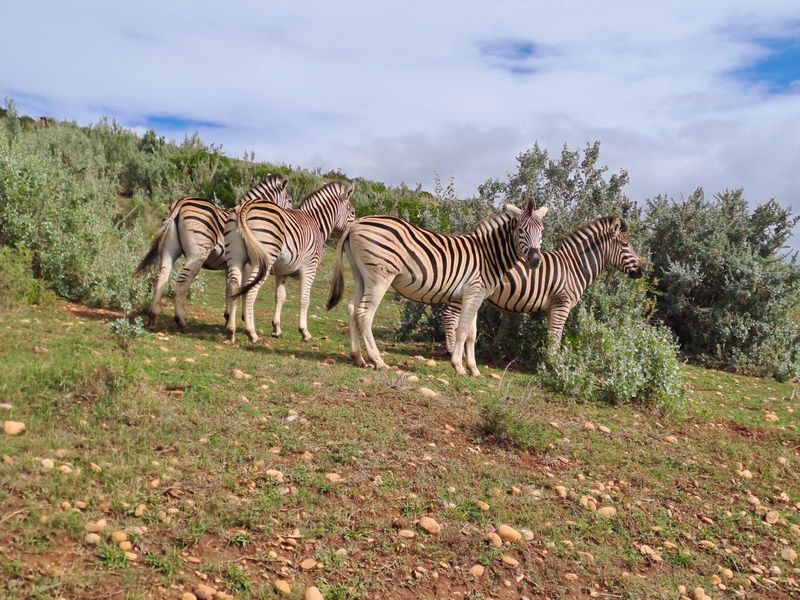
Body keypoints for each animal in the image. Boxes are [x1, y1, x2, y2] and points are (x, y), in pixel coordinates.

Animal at [134, 174, 291, 331]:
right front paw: (240, 317)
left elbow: (230, 288)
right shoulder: (247, 264)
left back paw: (153, 318)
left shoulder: (229, 265)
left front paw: (228, 317)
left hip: (169, 250)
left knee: (162, 277)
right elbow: (244, 286)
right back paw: (180, 321)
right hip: (197, 254)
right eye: (290, 200)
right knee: (183, 280)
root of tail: (181, 202)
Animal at [226, 180, 356, 343]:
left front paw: (276, 329)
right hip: (262, 261)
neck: (316, 224)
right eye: (353, 212)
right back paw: (252, 333)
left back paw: (231, 331)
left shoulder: (283, 271)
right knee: (249, 290)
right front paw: (304, 332)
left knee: (234, 287)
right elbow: (305, 299)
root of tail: (245, 206)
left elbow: (280, 296)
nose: (352, 234)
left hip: (236, 258)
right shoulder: (310, 267)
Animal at [326, 199, 549, 377]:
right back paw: (378, 361)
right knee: (364, 314)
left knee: (352, 309)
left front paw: (474, 370)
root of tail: (355, 224)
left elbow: (472, 334)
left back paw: (358, 358)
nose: (535, 260)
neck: (488, 256)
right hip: (380, 276)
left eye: (541, 231)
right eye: (521, 230)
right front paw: (459, 366)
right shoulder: (473, 292)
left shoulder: (476, 296)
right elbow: (462, 330)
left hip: (361, 276)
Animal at [442, 215, 645, 355]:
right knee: (450, 315)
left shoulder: (552, 307)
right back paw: (451, 350)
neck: (574, 267)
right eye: (626, 245)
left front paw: (548, 360)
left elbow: (550, 335)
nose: (643, 269)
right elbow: (556, 336)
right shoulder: (562, 304)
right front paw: (553, 365)